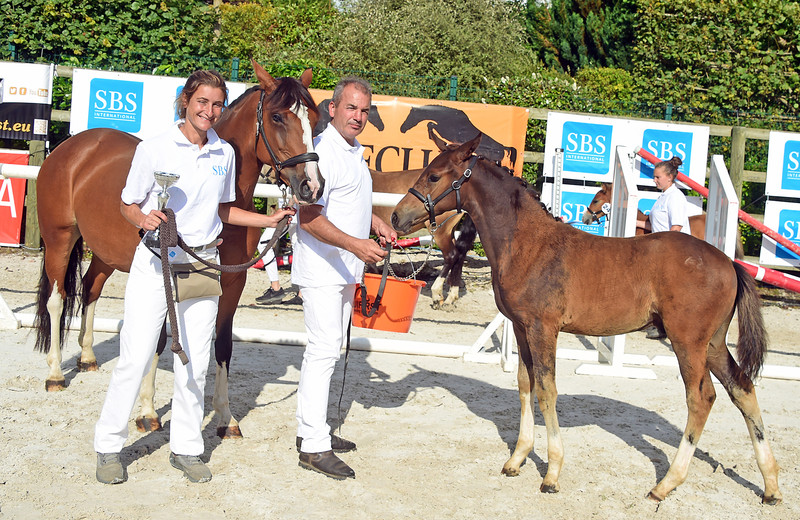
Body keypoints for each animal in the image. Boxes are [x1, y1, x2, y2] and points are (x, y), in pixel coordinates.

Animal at [392, 130, 780, 504]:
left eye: (434, 176)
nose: (396, 216)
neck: (527, 242)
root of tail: (729, 263)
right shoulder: (521, 327)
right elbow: (524, 384)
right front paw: (517, 459)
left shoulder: (543, 329)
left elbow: (546, 390)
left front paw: (551, 474)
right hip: (712, 343)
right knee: (743, 388)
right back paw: (771, 486)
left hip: (688, 341)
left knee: (702, 399)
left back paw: (666, 484)